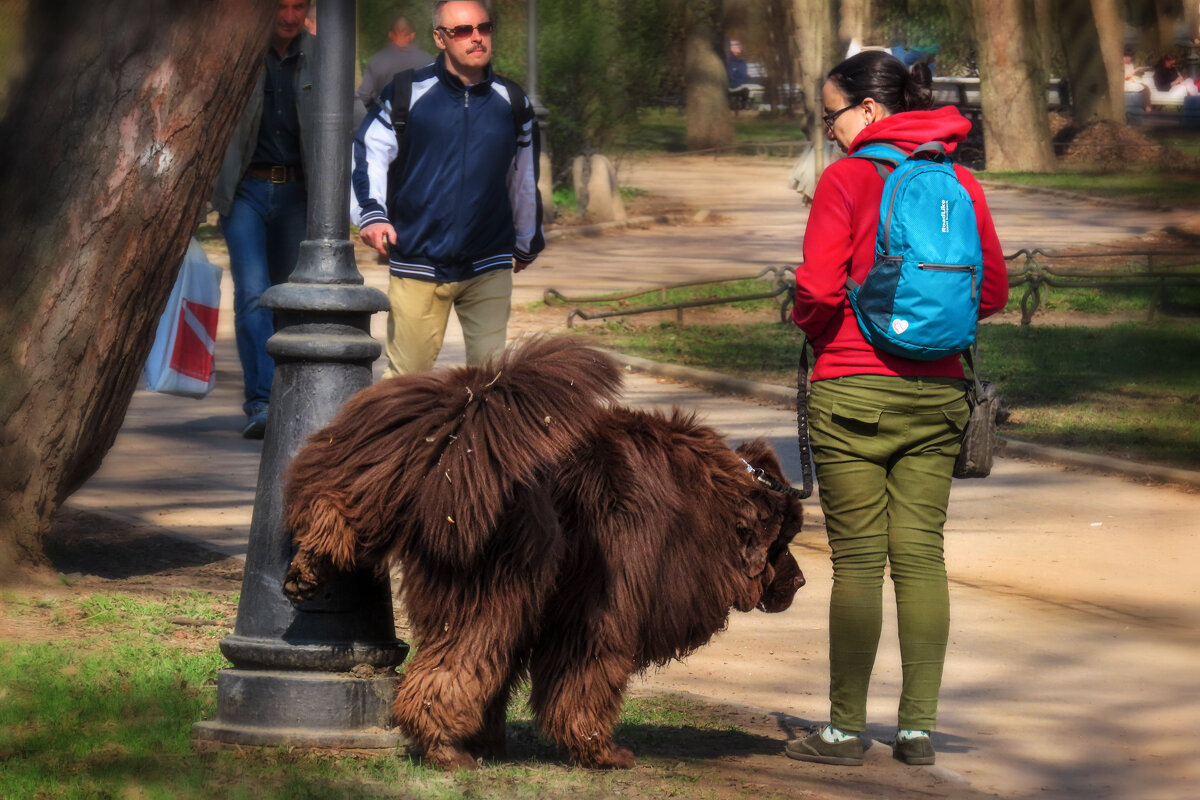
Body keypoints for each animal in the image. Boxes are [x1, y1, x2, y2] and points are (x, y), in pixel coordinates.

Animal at [283, 335, 806, 767]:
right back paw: (444, 751)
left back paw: (308, 567)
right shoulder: (601, 610)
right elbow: (584, 680)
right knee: (457, 660)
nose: (801, 581)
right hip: (496, 582)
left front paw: (490, 741)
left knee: (348, 503)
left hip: (404, 482)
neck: (708, 505)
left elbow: (503, 677)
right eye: (783, 543)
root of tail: (469, 424)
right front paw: (600, 752)